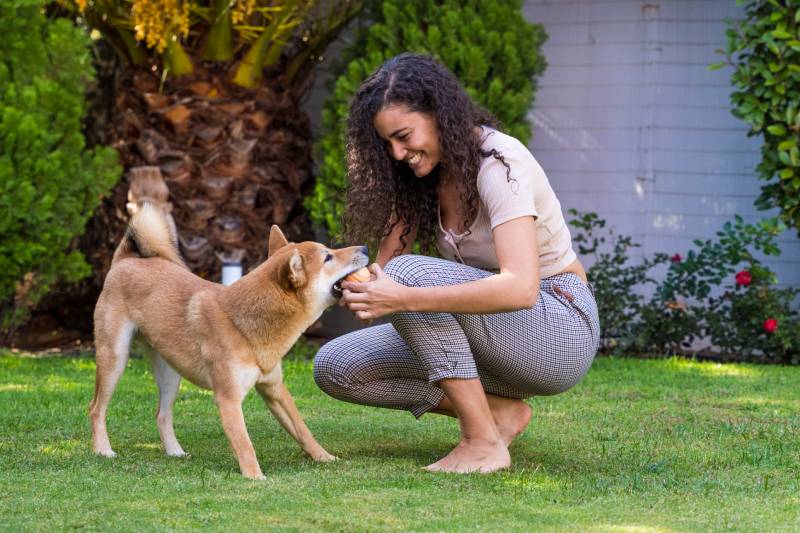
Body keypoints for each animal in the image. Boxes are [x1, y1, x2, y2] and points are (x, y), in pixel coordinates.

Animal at [91, 204, 368, 478]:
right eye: (328, 257)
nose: (365, 248)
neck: (244, 324)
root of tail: (125, 260)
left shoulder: (274, 388)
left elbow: (302, 429)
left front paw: (324, 457)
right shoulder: (229, 400)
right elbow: (244, 444)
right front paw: (255, 476)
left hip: (170, 374)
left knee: (162, 414)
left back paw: (174, 451)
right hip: (115, 360)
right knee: (96, 408)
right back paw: (103, 450)